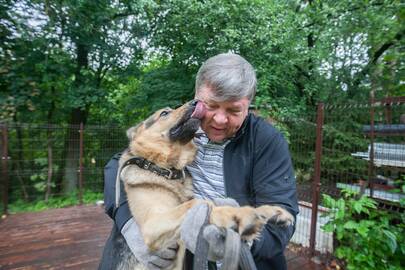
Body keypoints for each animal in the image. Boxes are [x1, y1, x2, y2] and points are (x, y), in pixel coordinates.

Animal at [107, 100, 292, 270]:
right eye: (164, 113)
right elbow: (199, 203)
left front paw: (267, 212)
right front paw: (241, 216)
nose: (196, 102)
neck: (164, 169)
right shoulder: (152, 224)